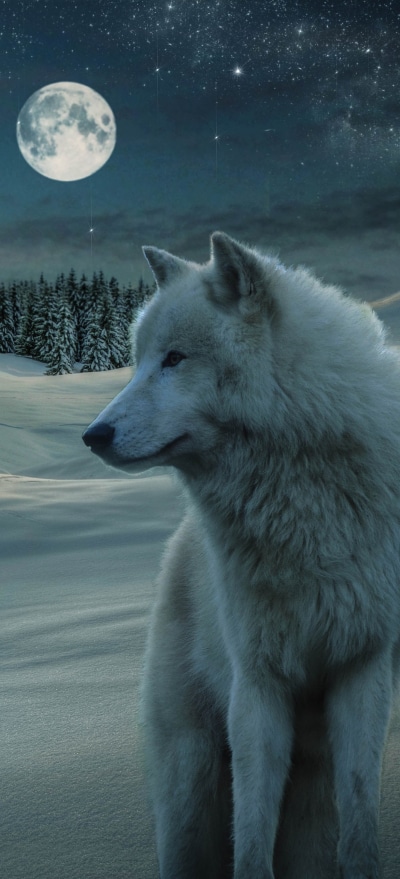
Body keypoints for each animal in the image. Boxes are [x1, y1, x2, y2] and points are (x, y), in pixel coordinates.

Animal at [83, 232, 400, 879]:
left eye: (175, 359)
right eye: (139, 359)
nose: (93, 436)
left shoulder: (364, 669)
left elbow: (360, 828)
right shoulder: (257, 684)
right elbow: (251, 837)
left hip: (309, 792)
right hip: (191, 782)